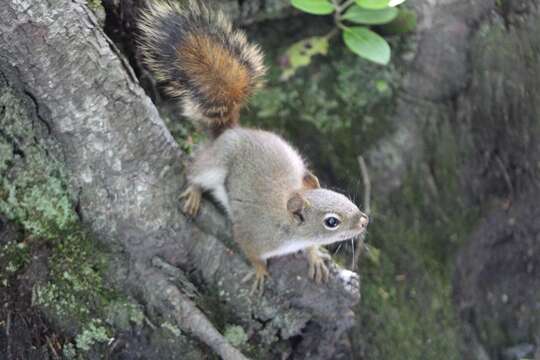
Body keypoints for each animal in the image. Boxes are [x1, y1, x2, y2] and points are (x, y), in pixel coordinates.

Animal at [137, 0, 370, 294]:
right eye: (331, 221)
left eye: (344, 197)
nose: (364, 220)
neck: (288, 228)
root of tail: (232, 131)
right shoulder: (251, 233)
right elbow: (250, 251)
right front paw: (260, 271)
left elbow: (310, 248)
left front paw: (315, 256)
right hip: (216, 162)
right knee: (195, 172)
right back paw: (193, 194)